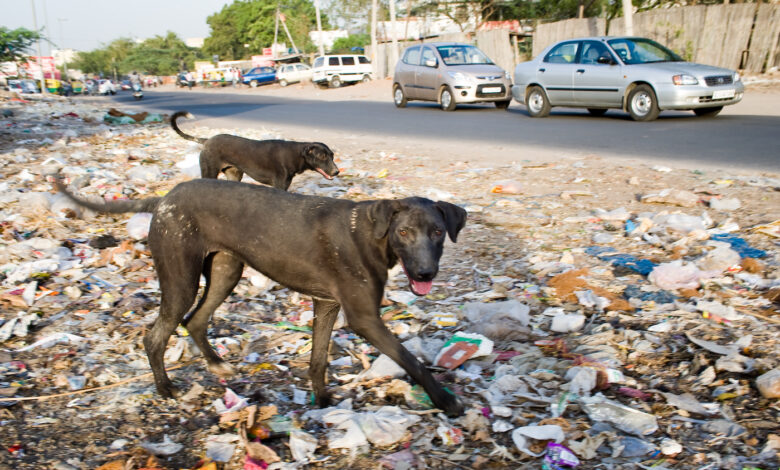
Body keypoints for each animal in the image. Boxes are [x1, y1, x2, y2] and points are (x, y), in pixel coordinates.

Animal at [58, 179, 470, 414]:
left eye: (437, 232)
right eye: (404, 232)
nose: (425, 274)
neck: (371, 232)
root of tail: (163, 199)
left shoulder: (327, 304)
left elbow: (318, 360)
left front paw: (321, 401)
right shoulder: (365, 318)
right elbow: (412, 361)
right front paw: (445, 400)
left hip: (226, 272)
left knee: (195, 320)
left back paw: (216, 365)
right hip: (181, 279)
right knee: (155, 335)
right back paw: (166, 389)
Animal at [169, 110, 340, 189]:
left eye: (332, 155)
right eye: (322, 157)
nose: (337, 172)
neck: (296, 154)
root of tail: (206, 140)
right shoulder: (280, 187)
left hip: (234, 175)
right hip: (209, 172)